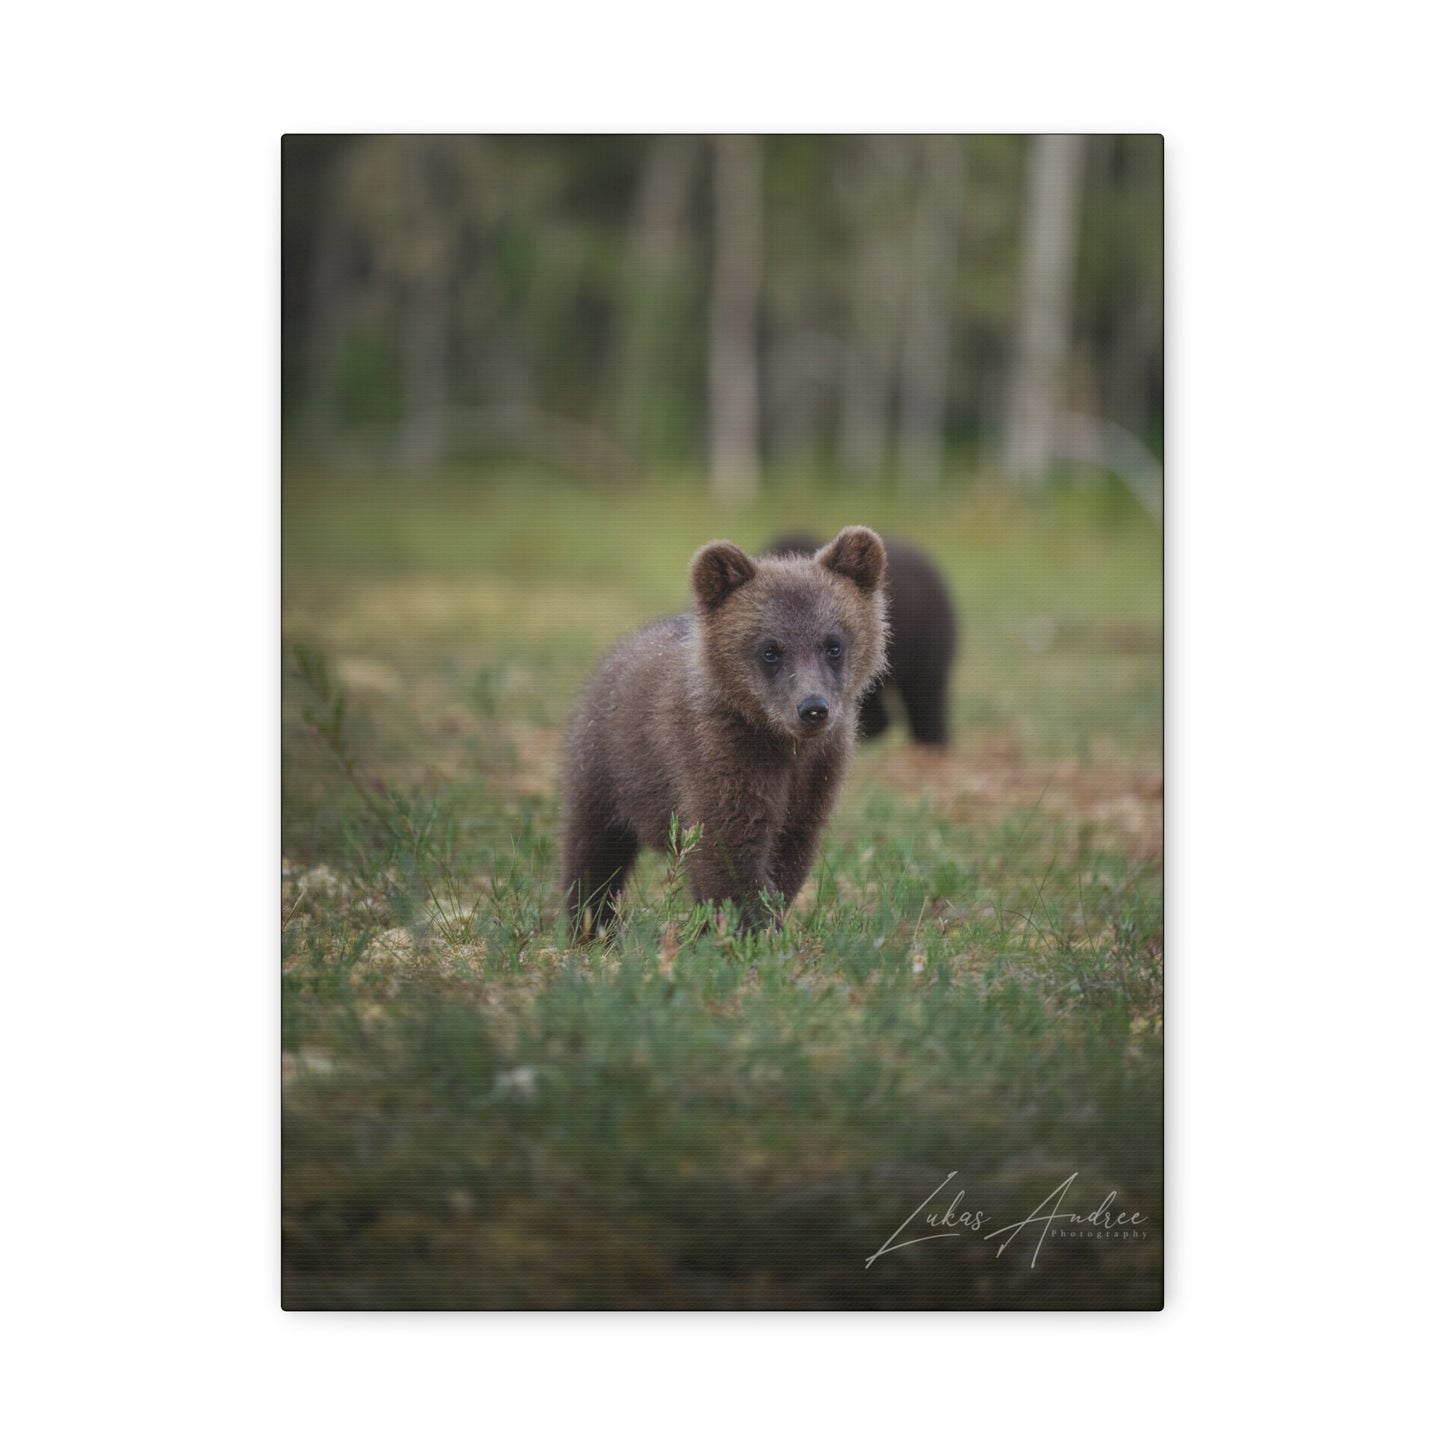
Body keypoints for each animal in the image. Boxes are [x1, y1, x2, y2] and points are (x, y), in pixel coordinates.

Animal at [561, 526, 889, 939]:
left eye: (833, 644)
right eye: (770, 650)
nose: (813, 708)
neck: (783, 744)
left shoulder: (818, 773)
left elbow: (791, 848)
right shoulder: (719, 754)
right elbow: (729, 848)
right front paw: (750, 930)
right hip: (605, 768)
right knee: (593, 848)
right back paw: (590, 926)